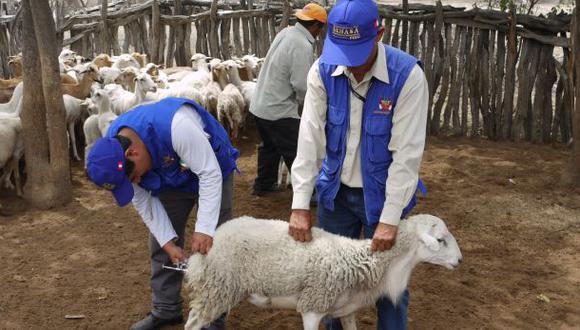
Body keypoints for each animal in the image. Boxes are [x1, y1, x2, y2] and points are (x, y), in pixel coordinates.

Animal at [184, 214, 464, 330]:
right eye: (440, 240)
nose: (460, 260)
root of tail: (214, 236)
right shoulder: (313, 306)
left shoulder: (346, 311)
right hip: (218, 287)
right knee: (193, 323)